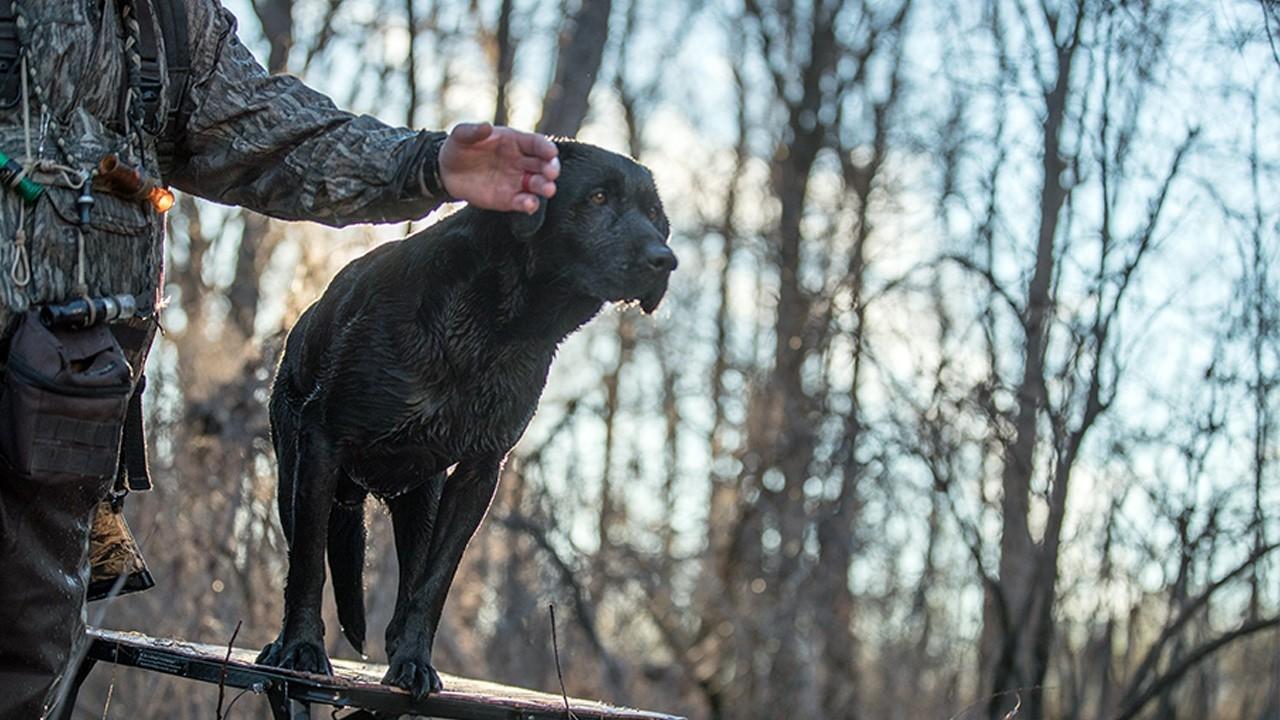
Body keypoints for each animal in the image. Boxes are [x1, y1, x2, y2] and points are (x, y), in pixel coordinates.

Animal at [257, 141, 676, 699]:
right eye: (598, 197)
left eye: (655, 217)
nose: (665, 260)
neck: (495, 331)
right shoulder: (323, 438)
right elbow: (306, 564)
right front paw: (301, 649)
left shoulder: (479, 471)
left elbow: (434, 582)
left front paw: (414, 662)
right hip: (293, 473)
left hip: (421, 497)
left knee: (412, 574)